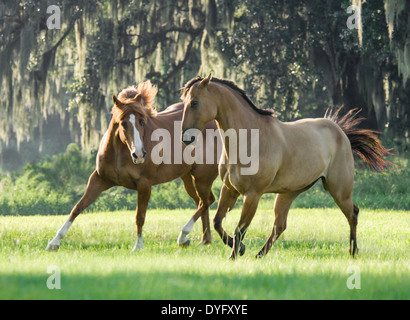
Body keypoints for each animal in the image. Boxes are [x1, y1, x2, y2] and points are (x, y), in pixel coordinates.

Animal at [46, 80, 219, 252]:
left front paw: (138, 246)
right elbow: (77, 208)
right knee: (203, 202)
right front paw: (54, 242)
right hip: (188, 178)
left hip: (202, 177)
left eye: (142, 121)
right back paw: (203, 240)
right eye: (123, 123)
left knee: (206, 201)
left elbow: (139, 217)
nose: (139, 155)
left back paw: (186, 237)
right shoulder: (99, 179)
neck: (119, 153)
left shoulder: (144, 185)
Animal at [181, 75, 392, 260]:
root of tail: (340, 131)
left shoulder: (252, 194)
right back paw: (259, 254)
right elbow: (218, 222)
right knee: (280, 226)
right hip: (288, 193)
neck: (249, 139)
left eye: (194, 103)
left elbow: (240, 229)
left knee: (352, 214)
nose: (185, 137)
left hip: (339, 191)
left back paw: (353, 251)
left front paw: (234, 255)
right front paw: (239, 249)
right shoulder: (230, 189)